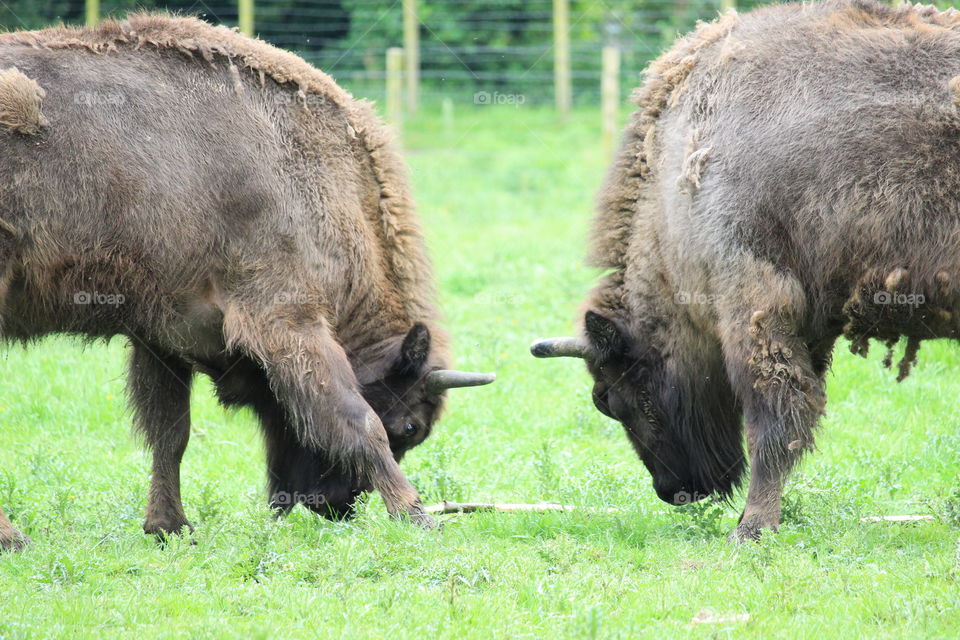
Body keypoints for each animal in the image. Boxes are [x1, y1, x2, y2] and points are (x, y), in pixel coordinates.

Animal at [0, 17, 496, 552]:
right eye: (410, 426)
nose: (337, 504)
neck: (305, 162)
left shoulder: (161, 335)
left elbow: (170, 432)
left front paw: (169, 527)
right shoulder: (286, 317)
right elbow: (354, 416)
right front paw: (418, 516)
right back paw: (14, 539)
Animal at [532, 0, 960, 540]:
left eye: (607, 398)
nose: (674, 491)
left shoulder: (752, 303)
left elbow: (773, 421)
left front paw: (751, 528)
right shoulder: (805, 328)